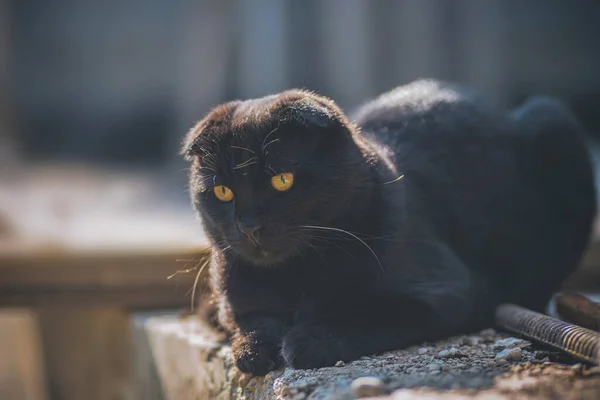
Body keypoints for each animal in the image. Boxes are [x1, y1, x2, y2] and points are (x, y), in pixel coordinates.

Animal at [183, 80, 596, 376]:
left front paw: (306, 339)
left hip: (554, 123)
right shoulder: (240, 292)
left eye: (282, 180)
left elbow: (367, 313)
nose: (249, 225)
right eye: (223, 191)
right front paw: (254, 349)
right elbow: (251, 321)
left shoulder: (448, 292)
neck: (297, 272)